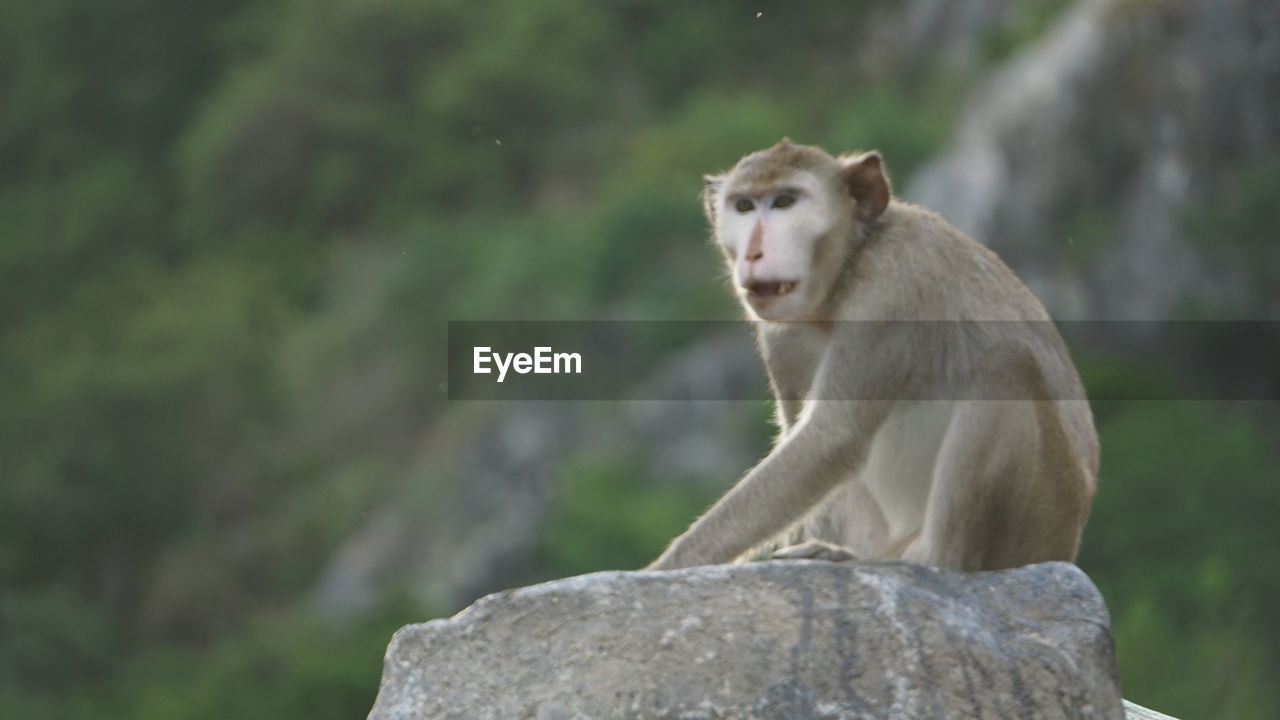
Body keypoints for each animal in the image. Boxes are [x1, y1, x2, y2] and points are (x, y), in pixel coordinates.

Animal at [650, 137, 1100, 568]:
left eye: (784, 202)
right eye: (743, 206)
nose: (753, 252)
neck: (847, 269)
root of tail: (1070, 542)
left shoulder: (895, 284)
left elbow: (832, 436)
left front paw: (671, 564)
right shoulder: (781, 333)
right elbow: (811, 442)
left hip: (1044, 518)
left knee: (1008, 363)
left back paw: (940, 559)